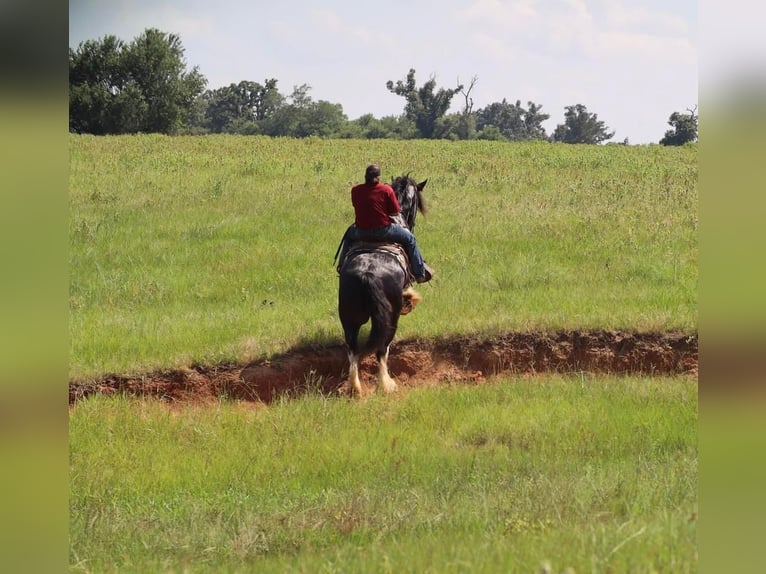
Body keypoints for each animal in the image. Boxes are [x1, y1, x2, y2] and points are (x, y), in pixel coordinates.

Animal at [340, 177, 428, 396]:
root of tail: (367, 274)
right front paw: (410, 299)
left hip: (348, 316)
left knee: (353, 349)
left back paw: (355, 387)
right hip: (390, 317)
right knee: (382, 348)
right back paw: (386, 384)